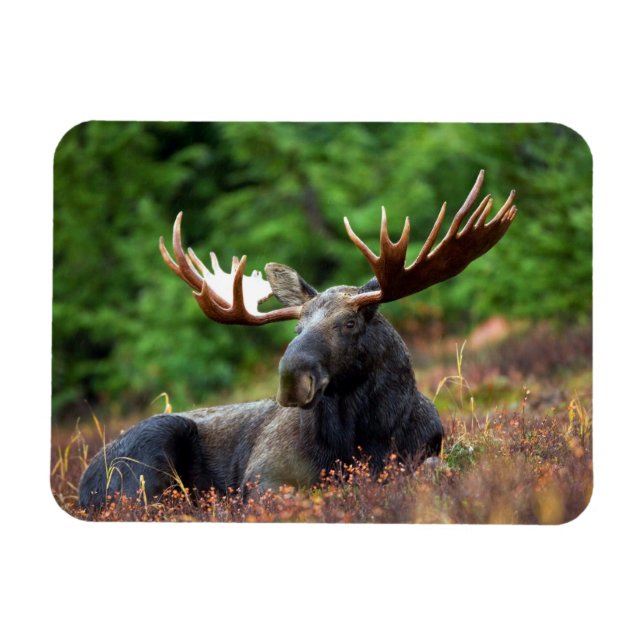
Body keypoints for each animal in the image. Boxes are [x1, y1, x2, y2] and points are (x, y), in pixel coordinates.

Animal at [78, 170, 517, 509]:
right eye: (297, 328)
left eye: (349, 323)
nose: (291, 379)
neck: (367, 436)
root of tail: (83, 484)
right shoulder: (263, 475)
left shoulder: (426, 451)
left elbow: (431, 469)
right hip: (149, 453)